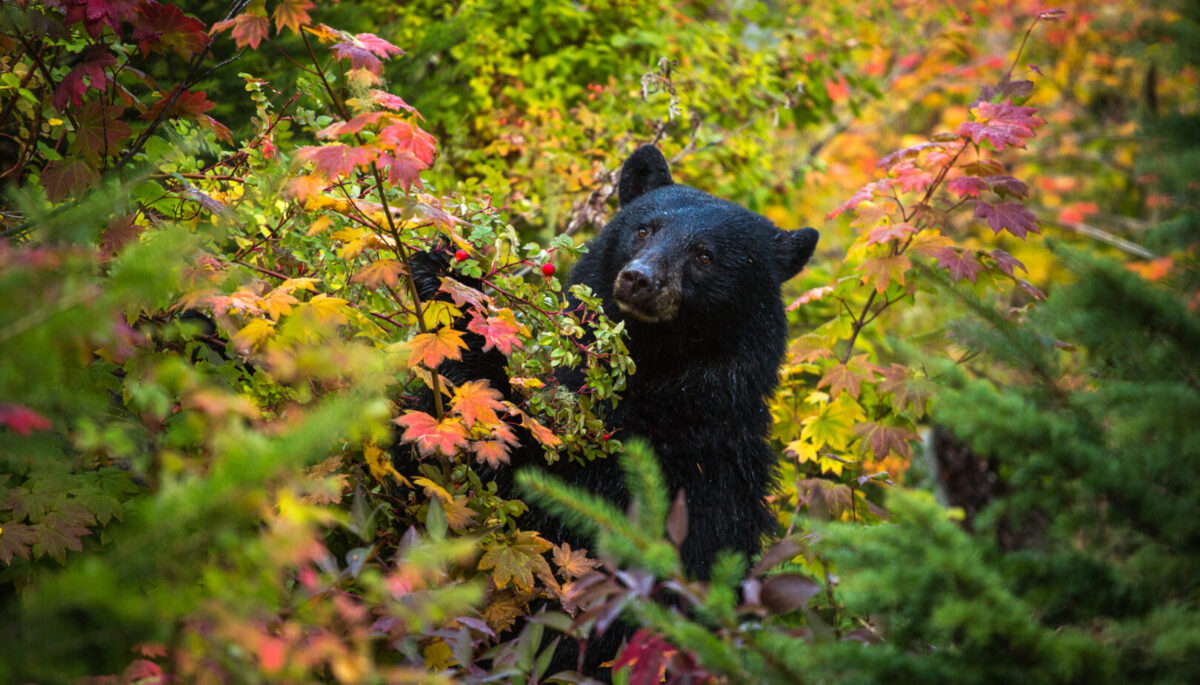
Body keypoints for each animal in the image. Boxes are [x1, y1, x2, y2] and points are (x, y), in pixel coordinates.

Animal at [411, 144, 818, 676]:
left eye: (705, 256)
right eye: (644, 228)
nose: (640, 279)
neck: (655, 373)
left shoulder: (661, 466)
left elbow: (534, 479)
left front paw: (449, 292)